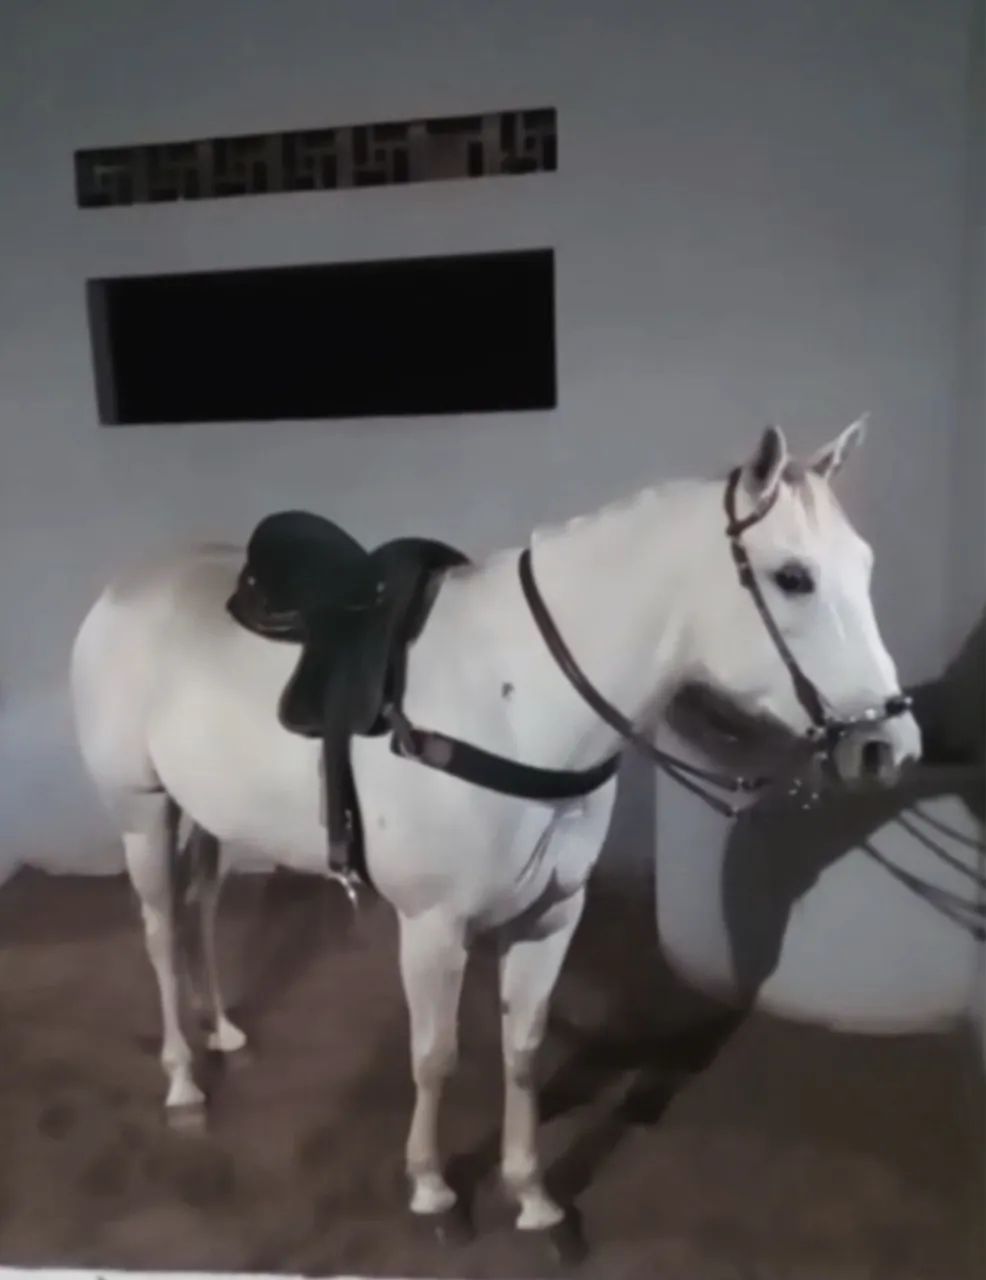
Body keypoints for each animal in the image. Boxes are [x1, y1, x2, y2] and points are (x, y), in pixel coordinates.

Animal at [69, 421, 921, 1238]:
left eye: (865, 565)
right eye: (793, 577)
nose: (891, 746)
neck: (515, 698)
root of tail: (124, 588)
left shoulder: (551, 915)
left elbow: (521, 1051)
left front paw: (531, 1193)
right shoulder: (433, 925)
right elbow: (435, 1057)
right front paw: (432, 1188)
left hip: (205, 814)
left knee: (202, 910)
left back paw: (221, 1030)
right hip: (142, 812)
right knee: (159, 930)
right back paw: (183, 1076)